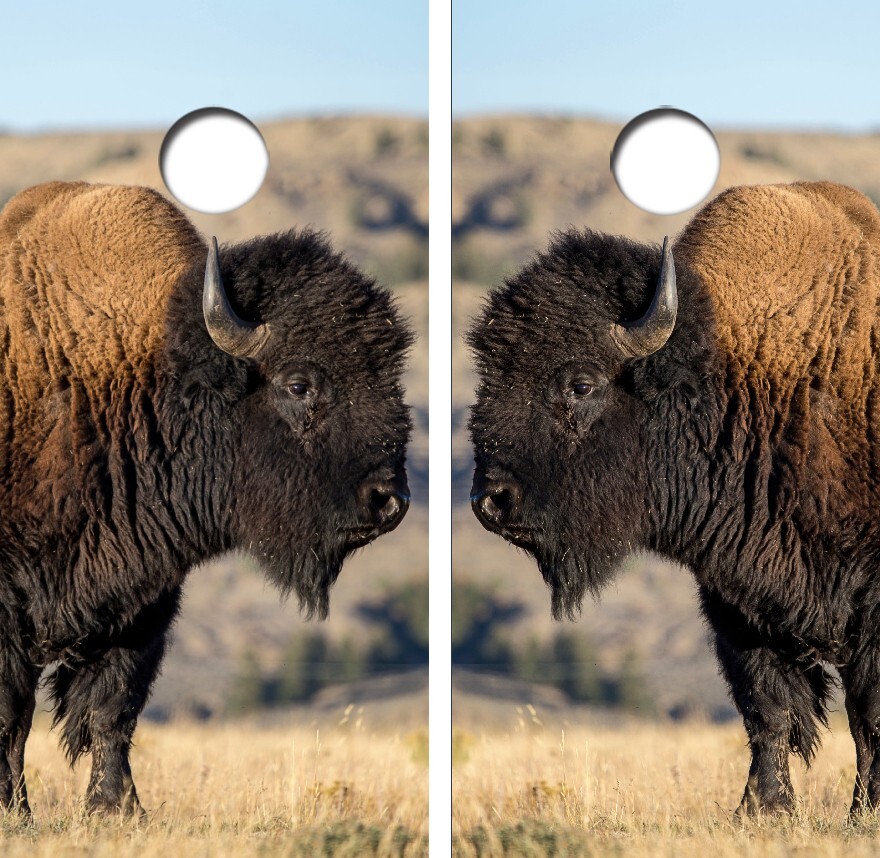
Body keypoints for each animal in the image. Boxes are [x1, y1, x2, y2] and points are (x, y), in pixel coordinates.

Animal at [0, 181, 412, 815]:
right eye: (299, 384)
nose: (389, 499)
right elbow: (12, 715)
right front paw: (15, 811)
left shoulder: (144, 601)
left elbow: (113, 708)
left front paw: (119, 809)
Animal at [468, 181, 880, 816]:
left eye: (580, 384)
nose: (491, 500)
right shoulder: (736, 601)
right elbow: (767, 707)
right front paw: (760, 809)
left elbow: (867, 716)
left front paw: (863, 812)